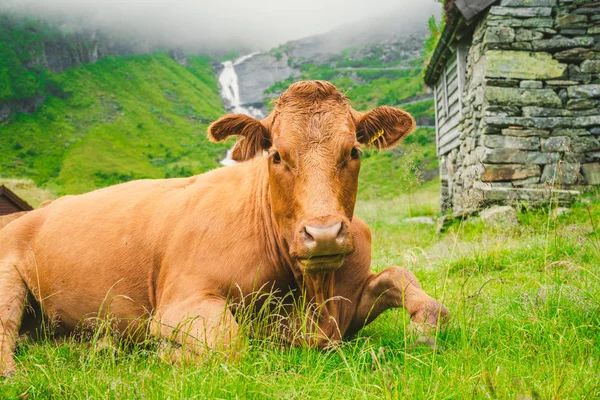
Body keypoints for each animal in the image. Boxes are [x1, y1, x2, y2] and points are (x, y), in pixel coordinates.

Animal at [0, 80, 448, 376]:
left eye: (353, 151)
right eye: (276, 156)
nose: (322, 235)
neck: (311, 298)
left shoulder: (347, 302)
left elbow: (410, 286)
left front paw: (424, 329)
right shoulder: (181, 301)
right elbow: (232, 345)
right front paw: (162, 355)